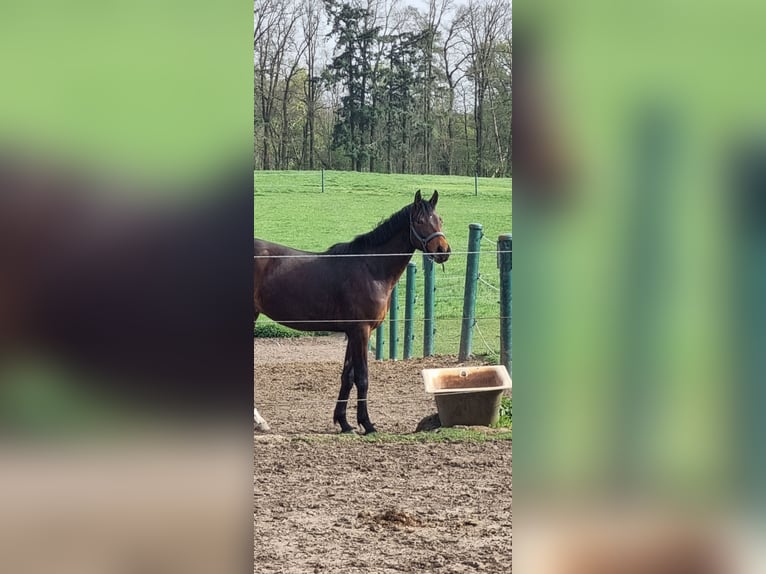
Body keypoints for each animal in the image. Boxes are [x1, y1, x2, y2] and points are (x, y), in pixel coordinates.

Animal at [255, 191, 452, 434]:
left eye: (439, 219)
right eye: (419, 221)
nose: (442, 251)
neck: (371, 268)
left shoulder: (352, 332)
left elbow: (347, 377)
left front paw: (344, 422)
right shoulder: (361, 331)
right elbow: (362, 377)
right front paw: (367, 424)